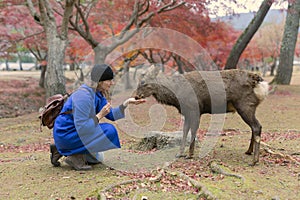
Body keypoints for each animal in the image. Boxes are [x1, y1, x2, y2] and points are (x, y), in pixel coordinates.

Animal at [135, 65, 268, 166]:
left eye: (143, 81)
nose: (136, 96)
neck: (177, 96)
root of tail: (259, 82)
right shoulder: (187, 112)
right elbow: (185, 131)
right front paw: (180, 153)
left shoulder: (195, 109)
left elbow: (193, 130)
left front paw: (190, 154)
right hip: (250, 107)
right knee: (256, 126)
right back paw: (248, 151)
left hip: (245, 105)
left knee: (257, 126)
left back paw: (254, 161)